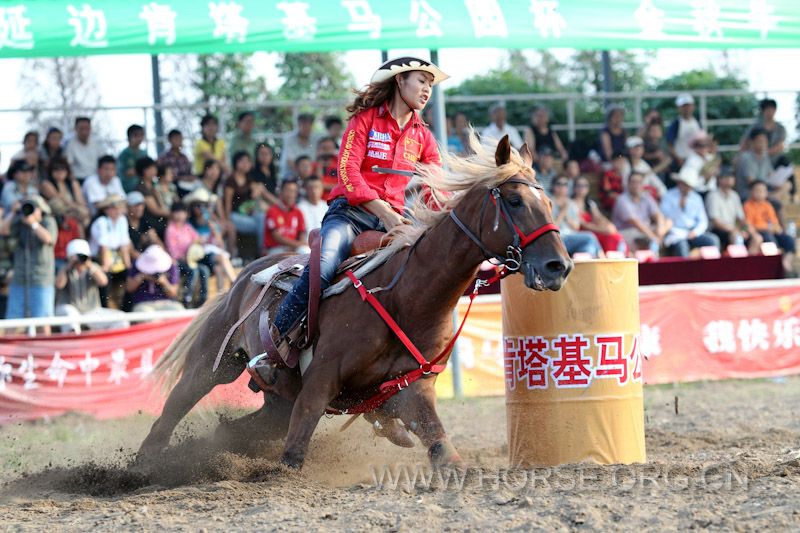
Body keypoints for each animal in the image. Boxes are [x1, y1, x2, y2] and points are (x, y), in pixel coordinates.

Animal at [141, 135, 572, 468]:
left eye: (550, 203)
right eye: (514, 201)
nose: (559, 266)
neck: (406, 297)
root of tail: (247, 273)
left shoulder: (412, 390)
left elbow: (443, 449)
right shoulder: (319, 382)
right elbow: (294, 453)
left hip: (277, 402)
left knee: (236, 426)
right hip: (213, 363)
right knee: (173, 408)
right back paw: (141, 467)